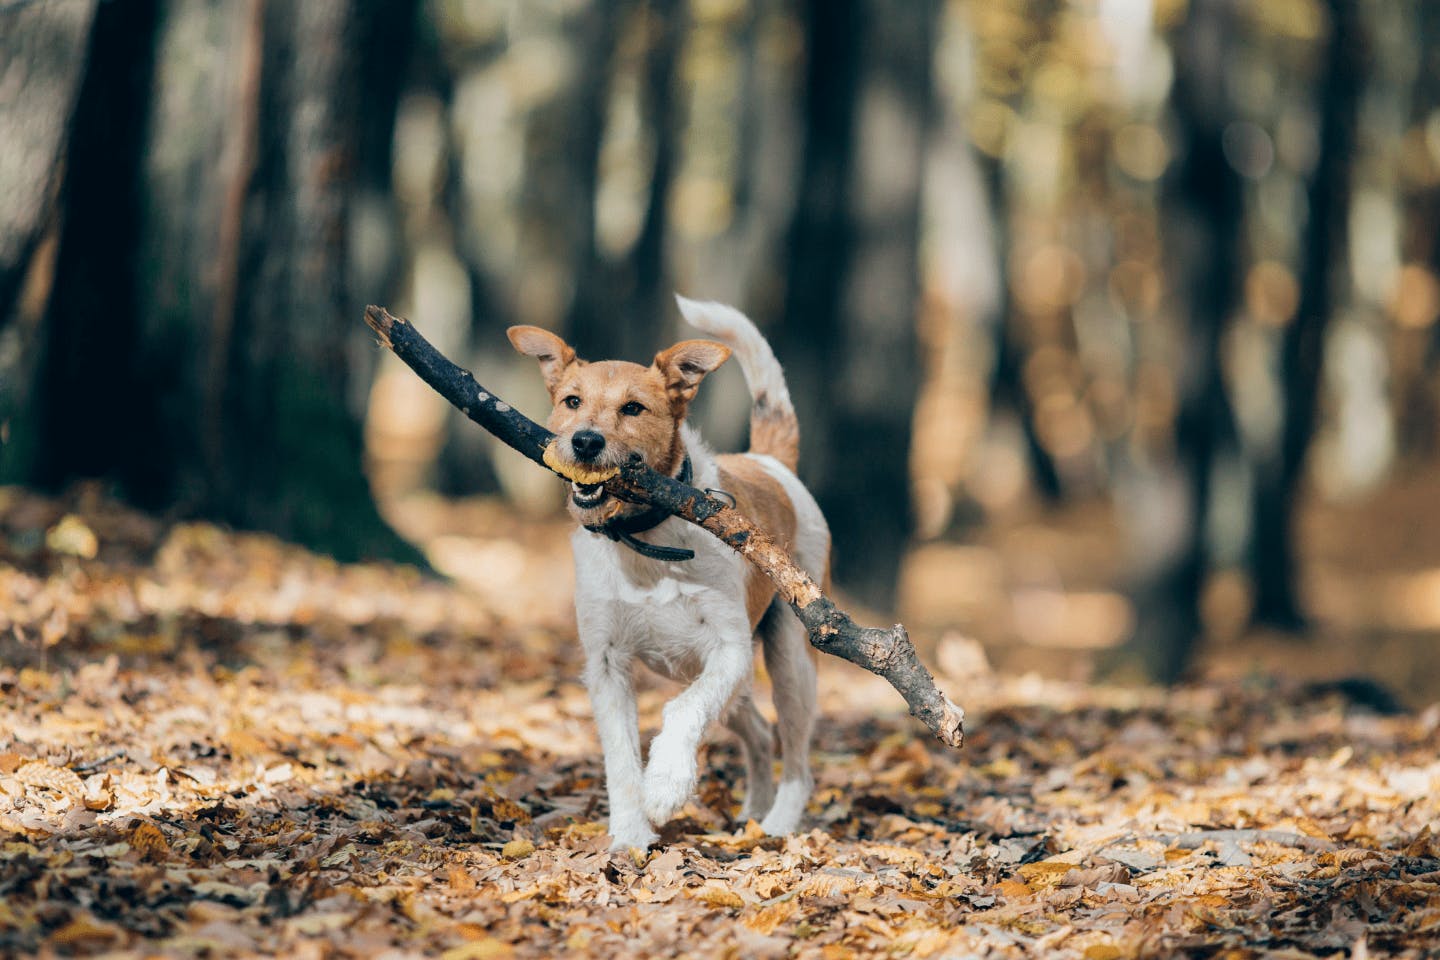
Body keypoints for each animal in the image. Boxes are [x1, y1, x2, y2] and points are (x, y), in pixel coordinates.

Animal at [506, 295, 829, 846]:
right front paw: (630, 835)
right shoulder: (607, 664)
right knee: (758, 731)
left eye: (633, 408)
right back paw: (751, 811)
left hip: (790, 661)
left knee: (796, 759)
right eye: (571, 401)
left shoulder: (730, 651)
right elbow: (620, 758)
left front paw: (665, 787)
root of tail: (770, 461)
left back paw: (777, 824)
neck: (645, 539)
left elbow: (682, 712)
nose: (585, 442)